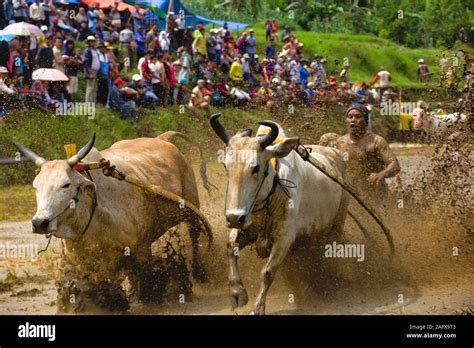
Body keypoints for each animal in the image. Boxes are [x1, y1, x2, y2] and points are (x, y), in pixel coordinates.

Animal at [210, 115, 348, 316]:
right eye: (227, 166)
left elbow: (268, 272)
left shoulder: (284, 237)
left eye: (255, 167)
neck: (274, 189)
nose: (234, 218)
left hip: (338, 222)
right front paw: (237, 293)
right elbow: (230, 247)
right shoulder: (247, 227)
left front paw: (258, 308)